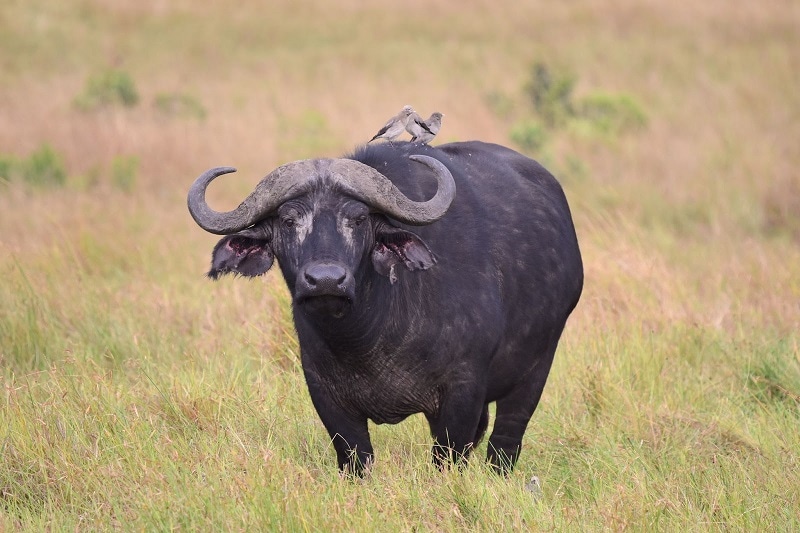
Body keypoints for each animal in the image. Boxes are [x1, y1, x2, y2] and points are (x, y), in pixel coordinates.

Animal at [191, 141, 584, 474]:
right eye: (288, 220)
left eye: (358, 218)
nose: (326, 280)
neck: (366, 335)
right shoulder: (326, 396)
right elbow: (356, 458)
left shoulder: (463, 391)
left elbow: (449, 457)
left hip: (534, 372)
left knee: (504, 443)